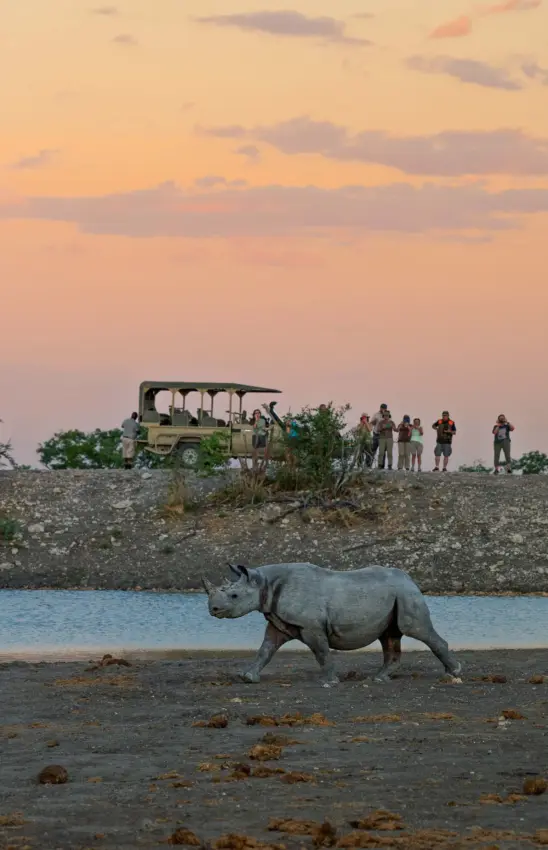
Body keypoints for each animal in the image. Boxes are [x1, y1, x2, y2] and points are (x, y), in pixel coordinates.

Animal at [202, 562, 462, 685]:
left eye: (234, 596)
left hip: (407, 594)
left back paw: (454, 673)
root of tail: (410, 579)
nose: (212, 610)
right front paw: (247, 677)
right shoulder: (278, 620)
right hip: (395, 594)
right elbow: (266, 649)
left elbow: (321, 652)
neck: (264, 583)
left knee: (415, 629)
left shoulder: (311, 626)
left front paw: (328, 681)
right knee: (389, 636)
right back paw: (378, 678)